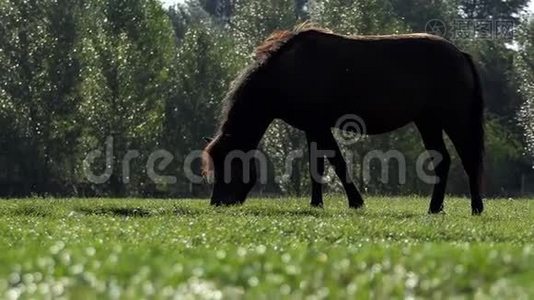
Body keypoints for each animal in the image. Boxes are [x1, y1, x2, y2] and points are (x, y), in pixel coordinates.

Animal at [201, 24, 486, 214]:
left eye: (230, 163)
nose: (217, 203)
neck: (286, 72)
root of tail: (460, 54)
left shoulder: (320, 126)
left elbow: (336, 162)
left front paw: (355, 201)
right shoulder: (312, 128)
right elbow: (317, 166)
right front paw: (316, 203)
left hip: (455, 119)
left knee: (469, 159)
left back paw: (476, 207)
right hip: (428, 121)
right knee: (443, 160)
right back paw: (435, 208)